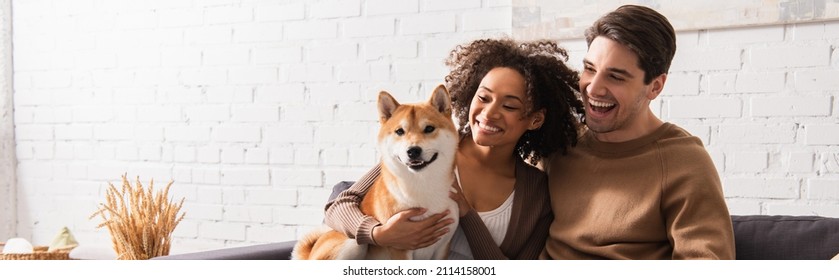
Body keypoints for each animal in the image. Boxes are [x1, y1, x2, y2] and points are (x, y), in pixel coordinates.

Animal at [290, 84, 460, 260]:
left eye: (429, 128)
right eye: (400, 131)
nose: (413, 151)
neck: (422, 185)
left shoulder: (443, 247)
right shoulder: (400, 246)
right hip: (351, 242)